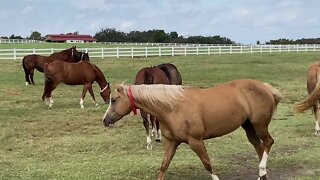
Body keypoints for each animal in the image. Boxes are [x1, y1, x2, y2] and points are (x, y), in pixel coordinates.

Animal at [102, 80, 282, 180]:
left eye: (114, 99)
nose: (105, 120)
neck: (173, 107)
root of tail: (266, 88)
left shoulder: (195, 141)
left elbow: (207, 164)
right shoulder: (171, 142)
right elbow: (164, 166)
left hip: (259, 125)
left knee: (268, 142)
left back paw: (262, 170)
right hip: (249, 127)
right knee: (260, 147)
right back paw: (262, 175)